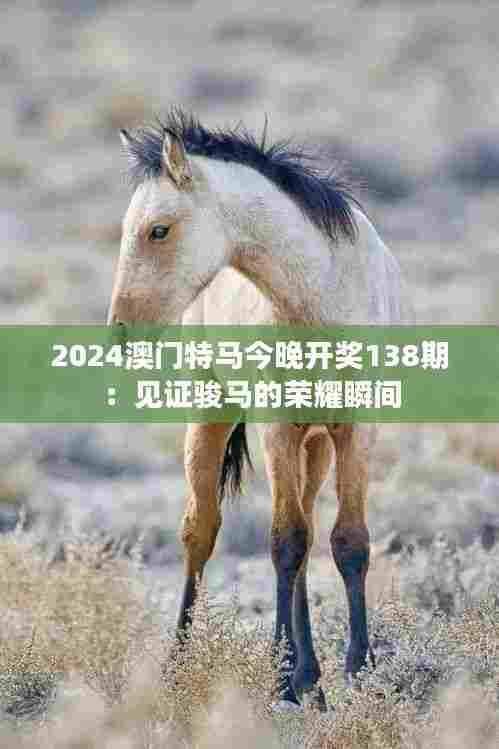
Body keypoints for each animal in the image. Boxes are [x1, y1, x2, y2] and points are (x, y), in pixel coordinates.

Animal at [108, 109, 412, 710]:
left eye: (158, 229)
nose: (120, 332)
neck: (323, 294)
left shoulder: (357, 430)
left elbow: (348, 542)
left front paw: (356, 670)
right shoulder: (276, 430)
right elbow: (284, 541)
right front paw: (288, 679)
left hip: (314, 445)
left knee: (308, 534)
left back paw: (306, 672)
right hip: (212, 419)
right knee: (201, 531)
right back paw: (183, 664)